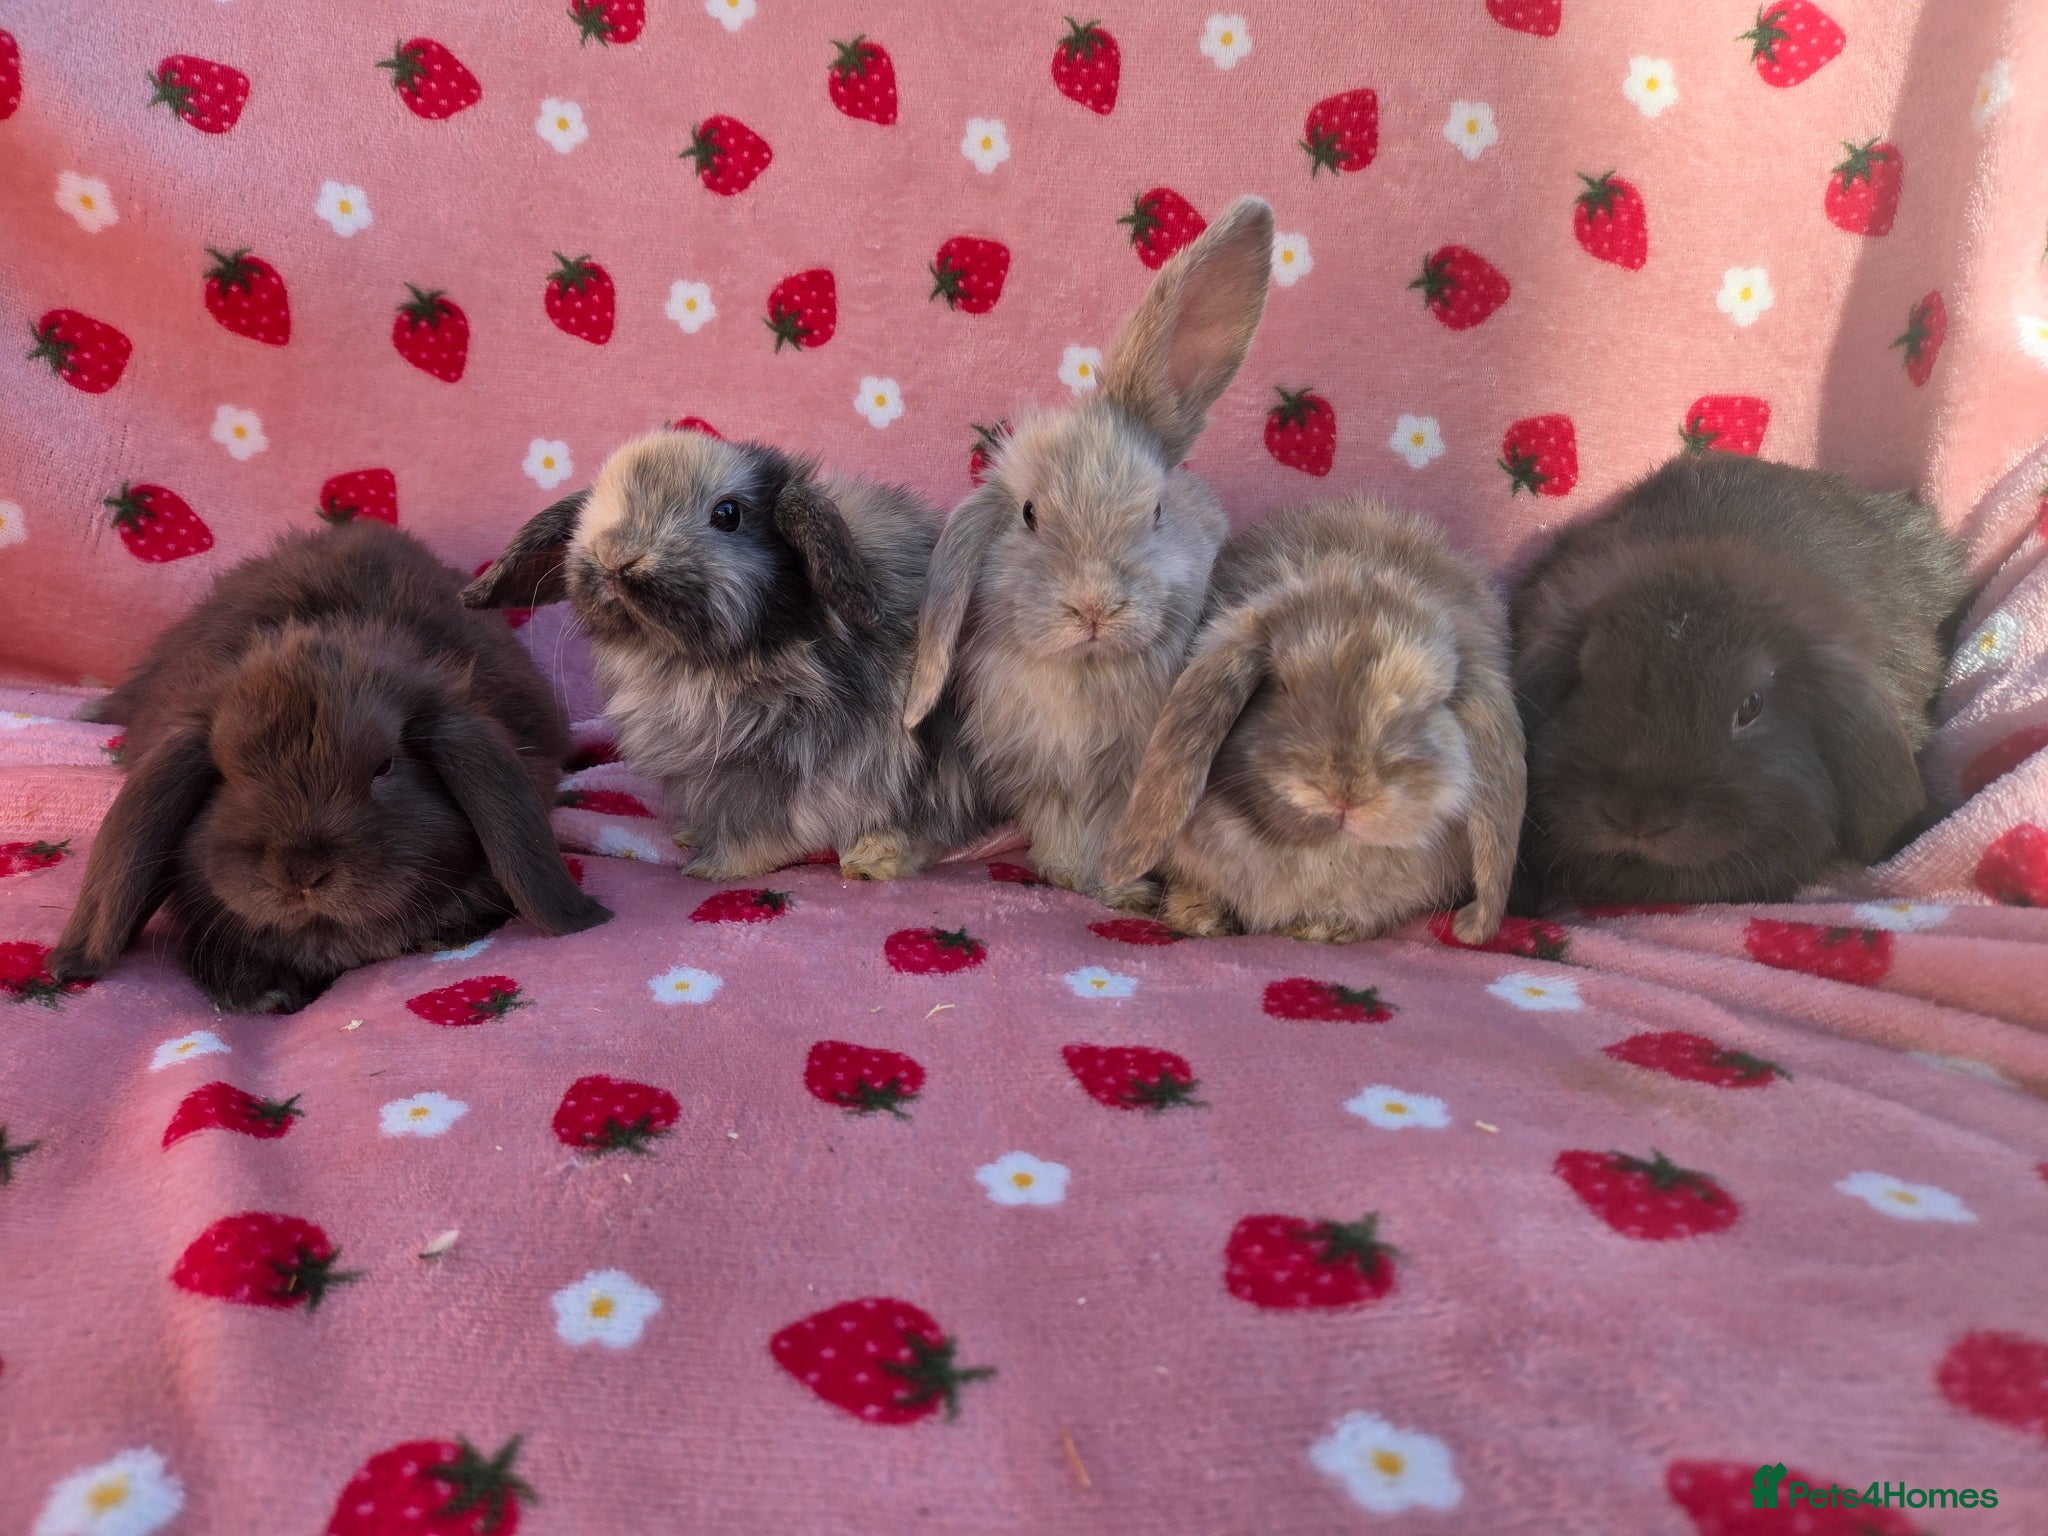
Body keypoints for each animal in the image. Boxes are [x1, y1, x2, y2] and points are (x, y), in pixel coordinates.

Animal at [465, 429, 992, 882]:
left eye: (727, 514)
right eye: (592, 508)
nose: (615, 554)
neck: (684, 661)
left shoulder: (781, 763)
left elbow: (759, 826)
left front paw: (714, 868)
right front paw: (689, 836)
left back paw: (873, 857)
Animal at [903, 194, 1275, 910]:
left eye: (1156, 513)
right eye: (1028, 515)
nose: (1095, 607)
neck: (1083, 674)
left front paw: (1119, 892)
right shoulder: (1039, 773)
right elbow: (1058, 825)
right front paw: (1065, 873)